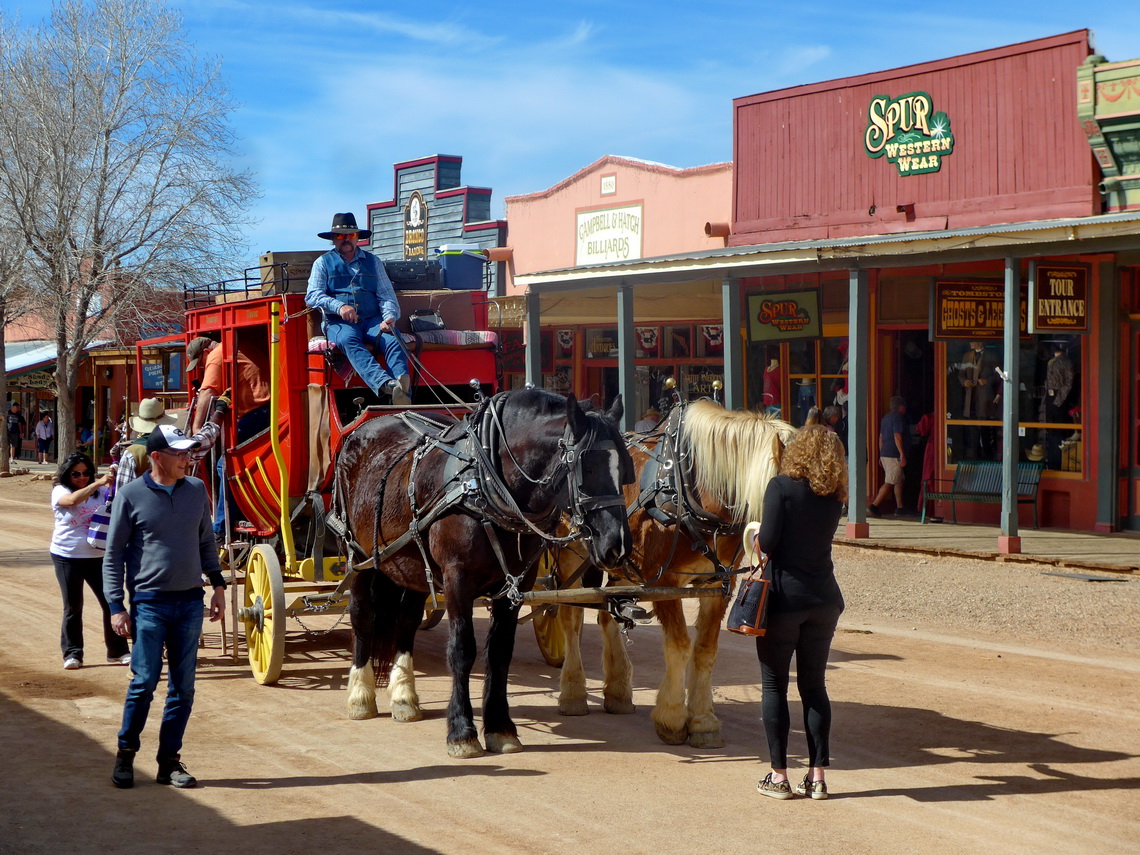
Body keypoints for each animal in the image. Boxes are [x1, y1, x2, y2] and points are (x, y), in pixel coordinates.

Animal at [337, 387, 642, 756]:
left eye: (624, 468)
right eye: (586, 468)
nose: (617, 546)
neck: (488, 486)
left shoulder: (517, 584)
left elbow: (499, 652)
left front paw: (500, 727)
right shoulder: (457, 579)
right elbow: (462, 650)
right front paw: (462, 731)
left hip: (410, 562)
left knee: (406, 620)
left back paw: (404, 696)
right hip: (358, 555)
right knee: (362, 617)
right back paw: (360, 695)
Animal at [551, 401, 793, 747]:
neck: (689, 492)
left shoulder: (717, 583)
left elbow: (705, 650)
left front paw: (703, 721)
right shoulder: (664, 582)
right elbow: (679, 645)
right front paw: (673, 718)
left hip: (619, 559)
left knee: (607, 614)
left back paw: (618, 690)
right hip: (572, 553)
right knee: (570, 619)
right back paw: (572, 692)